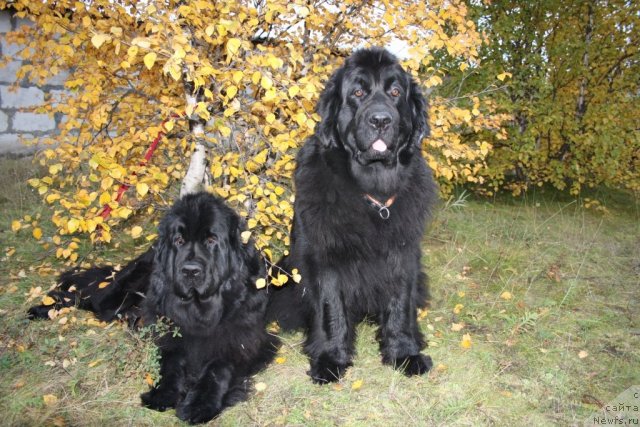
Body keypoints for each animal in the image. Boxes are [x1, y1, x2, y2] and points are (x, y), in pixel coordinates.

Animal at [30, 193, 278, 424]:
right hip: (123, 291)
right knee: (92, 300)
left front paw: (199, 405)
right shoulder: (168, 332)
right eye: (179, 240)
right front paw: (163, 394)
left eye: (211, 240)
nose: (190, 271)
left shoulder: (245, 340)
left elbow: (219, 368)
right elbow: (171, 363)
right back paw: (45, 308)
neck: (200, 310)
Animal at [266, 47, 440, 384]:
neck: (374, 195)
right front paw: (330, 359)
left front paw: (404, 353)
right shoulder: (325, 258)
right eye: (358, 93)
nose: (381, 119)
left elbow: (400, 306)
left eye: (395, 92)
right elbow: (331, 308)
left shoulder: (402, 254)